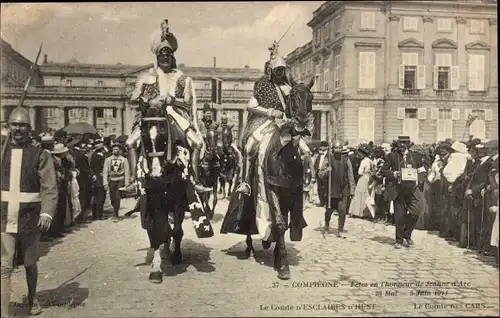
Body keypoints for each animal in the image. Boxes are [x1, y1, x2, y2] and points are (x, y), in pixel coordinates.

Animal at [222, 77, 314, 280]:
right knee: (247, 221)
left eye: (311, 97)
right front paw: (284, 266)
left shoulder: (291, 192)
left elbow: (284, 223)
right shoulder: (272, 189)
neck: (286, 157)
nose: (302, 121)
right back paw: (250, 249)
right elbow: (279, 224)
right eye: (292, 96)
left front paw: (278, 257)